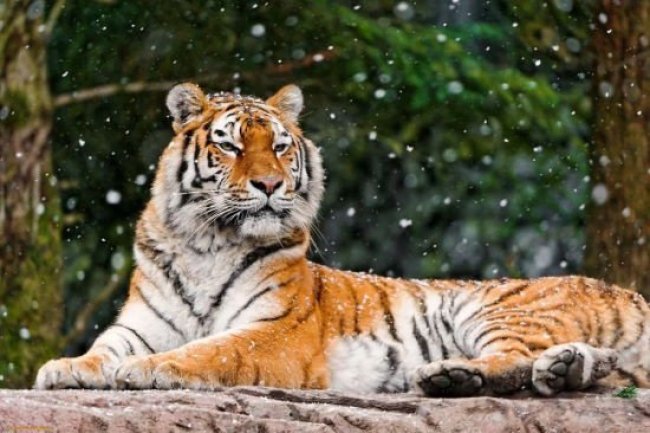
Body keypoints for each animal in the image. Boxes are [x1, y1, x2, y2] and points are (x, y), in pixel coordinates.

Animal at [34, 83, 650, 397]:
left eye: (280, 146)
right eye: (230, 146)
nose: (269, 184)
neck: (206, 242)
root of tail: (626, 291)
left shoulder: (275, 331)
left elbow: (212, 349)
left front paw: (150, 369)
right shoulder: (140, 323)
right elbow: (105, 347)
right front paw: (65, 367)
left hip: (499, 309)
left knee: (515, 361)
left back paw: (452, 375)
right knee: (575, 365)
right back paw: (556, 370)